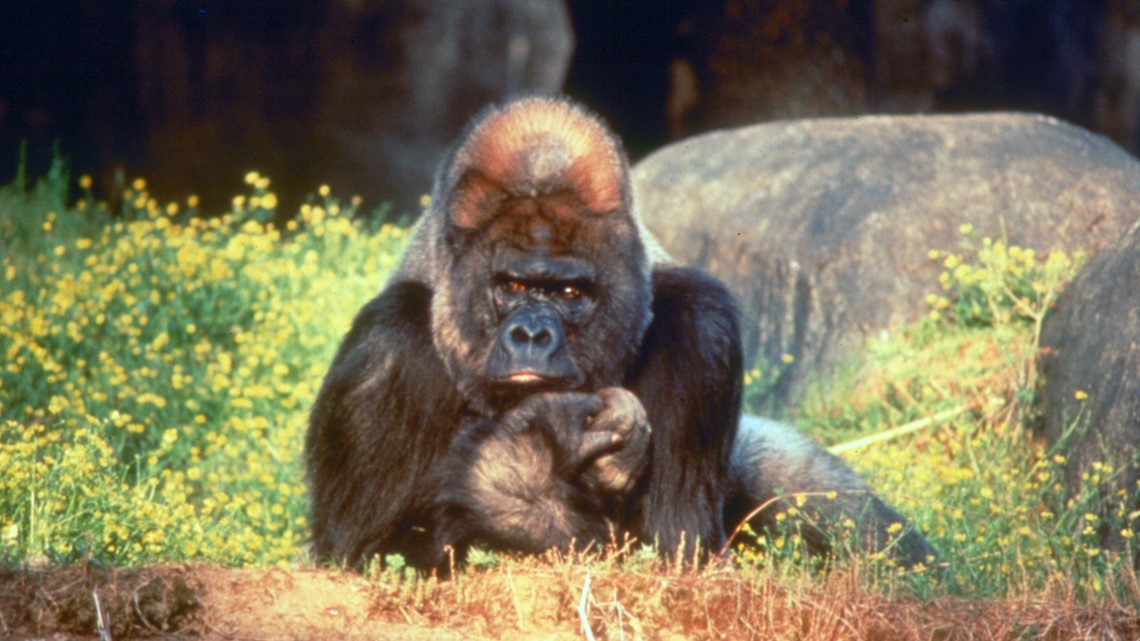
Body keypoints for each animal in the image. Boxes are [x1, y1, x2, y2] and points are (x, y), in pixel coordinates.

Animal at [305, 93, 934, 568]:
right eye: (511, 285)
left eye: (568, 294)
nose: (531, 337)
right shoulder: (381, 351)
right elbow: (367, 553)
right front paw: (518, 474)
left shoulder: (701, 328)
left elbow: (677, 552)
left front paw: (513, 476)